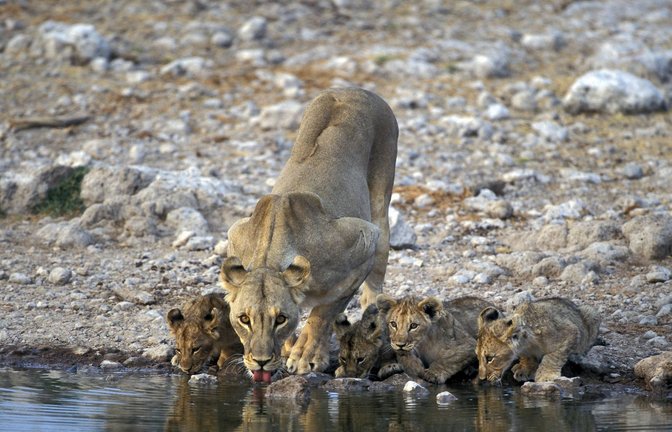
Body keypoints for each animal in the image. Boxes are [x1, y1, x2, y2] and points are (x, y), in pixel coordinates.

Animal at [220, 88, 398, 381]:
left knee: (374, 287)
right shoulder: (236, 233)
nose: (260, 362)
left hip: (381, 208)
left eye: (280, 319)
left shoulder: (363, 239)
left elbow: (323, 313)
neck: (270, 255)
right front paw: (289, 348)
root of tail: (355, 89)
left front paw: (306, 356)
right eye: (244, 319)